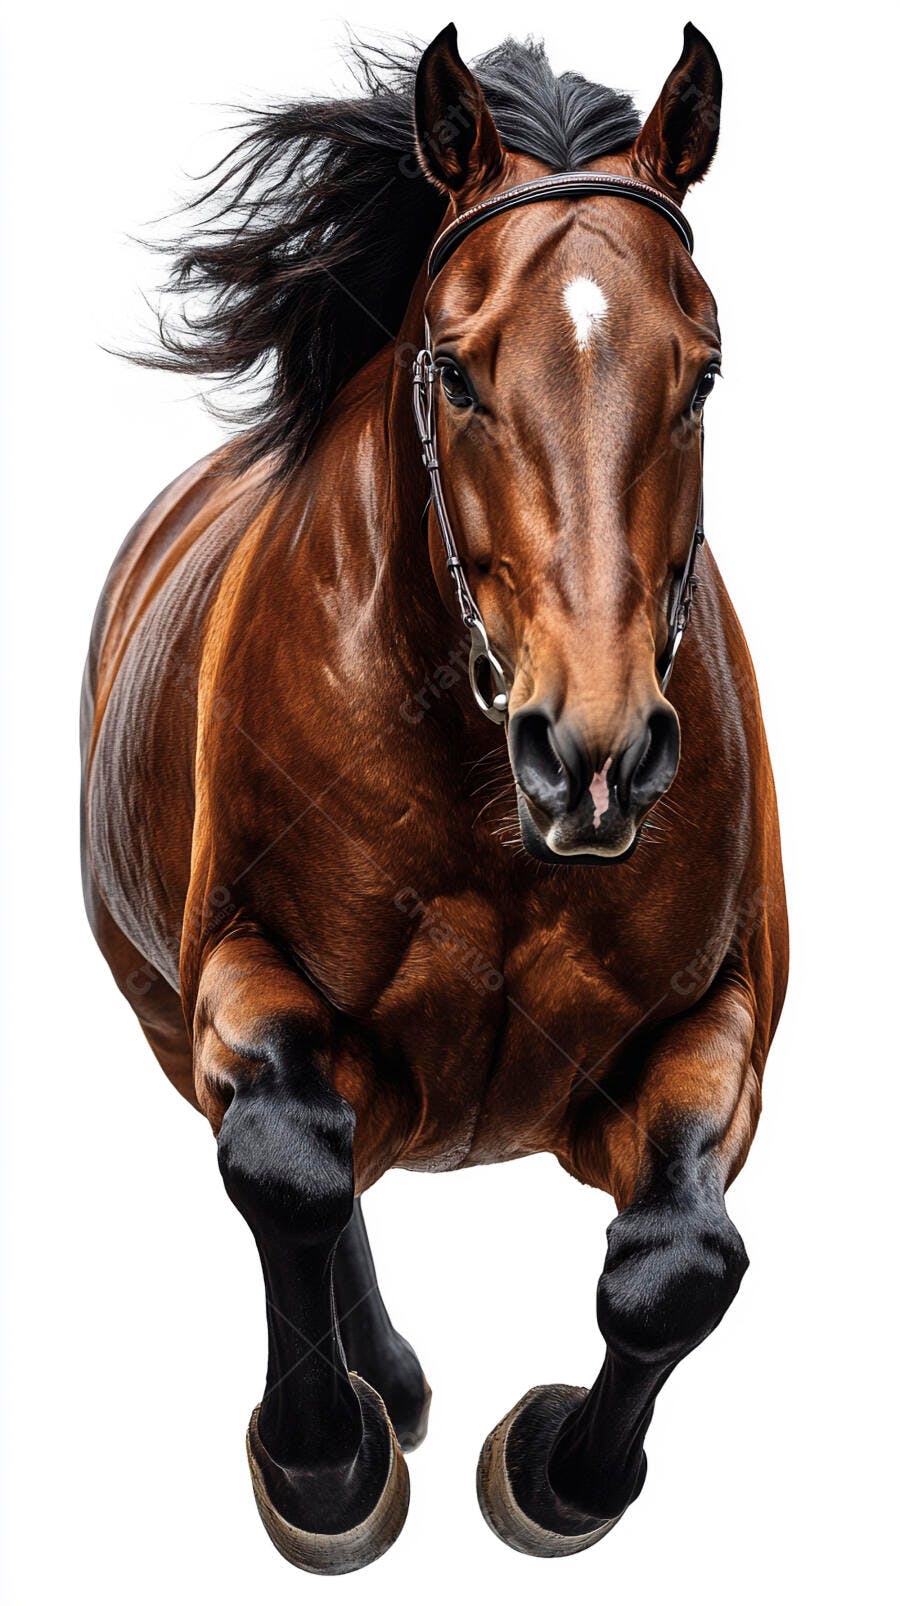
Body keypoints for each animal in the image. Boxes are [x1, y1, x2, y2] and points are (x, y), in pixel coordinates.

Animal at [81, 22, 788, 1572]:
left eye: (704, 373)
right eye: (456, 374)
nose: (592, 752)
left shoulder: (719, 1017)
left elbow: (680, 1262)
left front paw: (559, 1469)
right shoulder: (239, 968)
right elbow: (289, 1160)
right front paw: (323, 1466)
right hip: (167, 1013)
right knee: (312, 1162)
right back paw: (380, 1391)